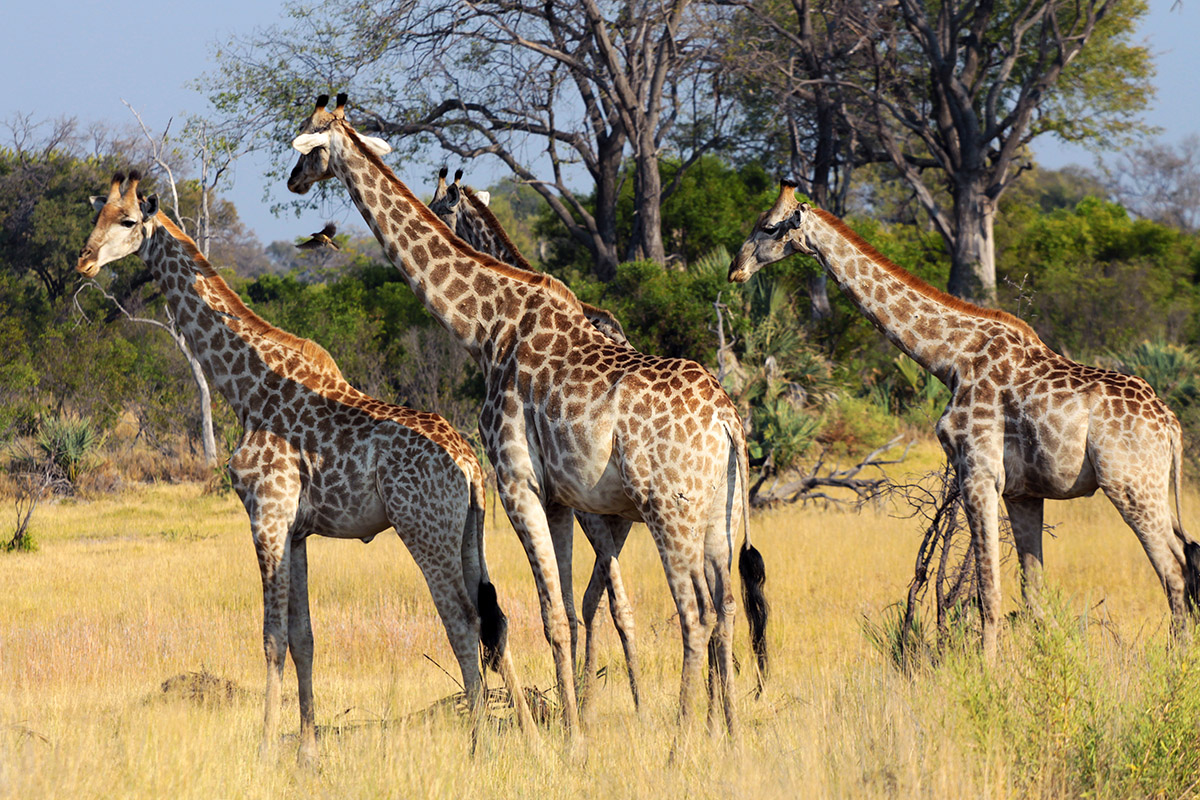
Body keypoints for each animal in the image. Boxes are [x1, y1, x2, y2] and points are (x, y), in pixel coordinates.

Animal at [77, 170, 532, 762]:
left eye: (128, 220)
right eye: (97, 214)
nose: (84, 261)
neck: (246, 389)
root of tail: (471, 464)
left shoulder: (267, 515)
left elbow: (271, 637)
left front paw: (266, 746)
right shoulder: (296, 531)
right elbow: (304, 638)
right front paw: (307, 751)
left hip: (423, 528)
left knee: (461, 618)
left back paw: (480, 745)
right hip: (467, 530)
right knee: (494, 620)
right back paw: (529, 737)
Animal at [724, 183, 1200, 662]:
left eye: (769, 226)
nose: (734, 269)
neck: (949, 358)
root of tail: (1172, 426)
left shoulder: (979, 473)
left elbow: (988, 591)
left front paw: (986, 672)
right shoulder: (1023, 491)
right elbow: (1033, 593)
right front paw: (1050, 664)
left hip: (1129, 485)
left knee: (1175, 570)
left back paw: (1176, 662)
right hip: (1150, 485)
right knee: (1186, 558)